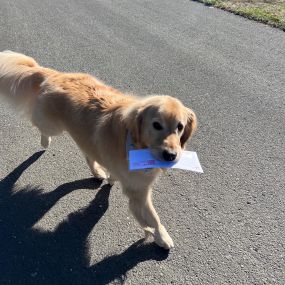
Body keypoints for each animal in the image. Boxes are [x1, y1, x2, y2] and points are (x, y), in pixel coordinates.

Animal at [0, 51, 195, 248]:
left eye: (180, 127)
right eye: (156, 125)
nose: (171, 155)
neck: (134, 141)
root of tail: (56, 74)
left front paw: (110, 178)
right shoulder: (138, 191)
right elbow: (153, 219)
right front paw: (162, 237)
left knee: (88, 153)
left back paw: (97, 172)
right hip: (53, 125)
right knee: (37, 122)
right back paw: (45, 142)